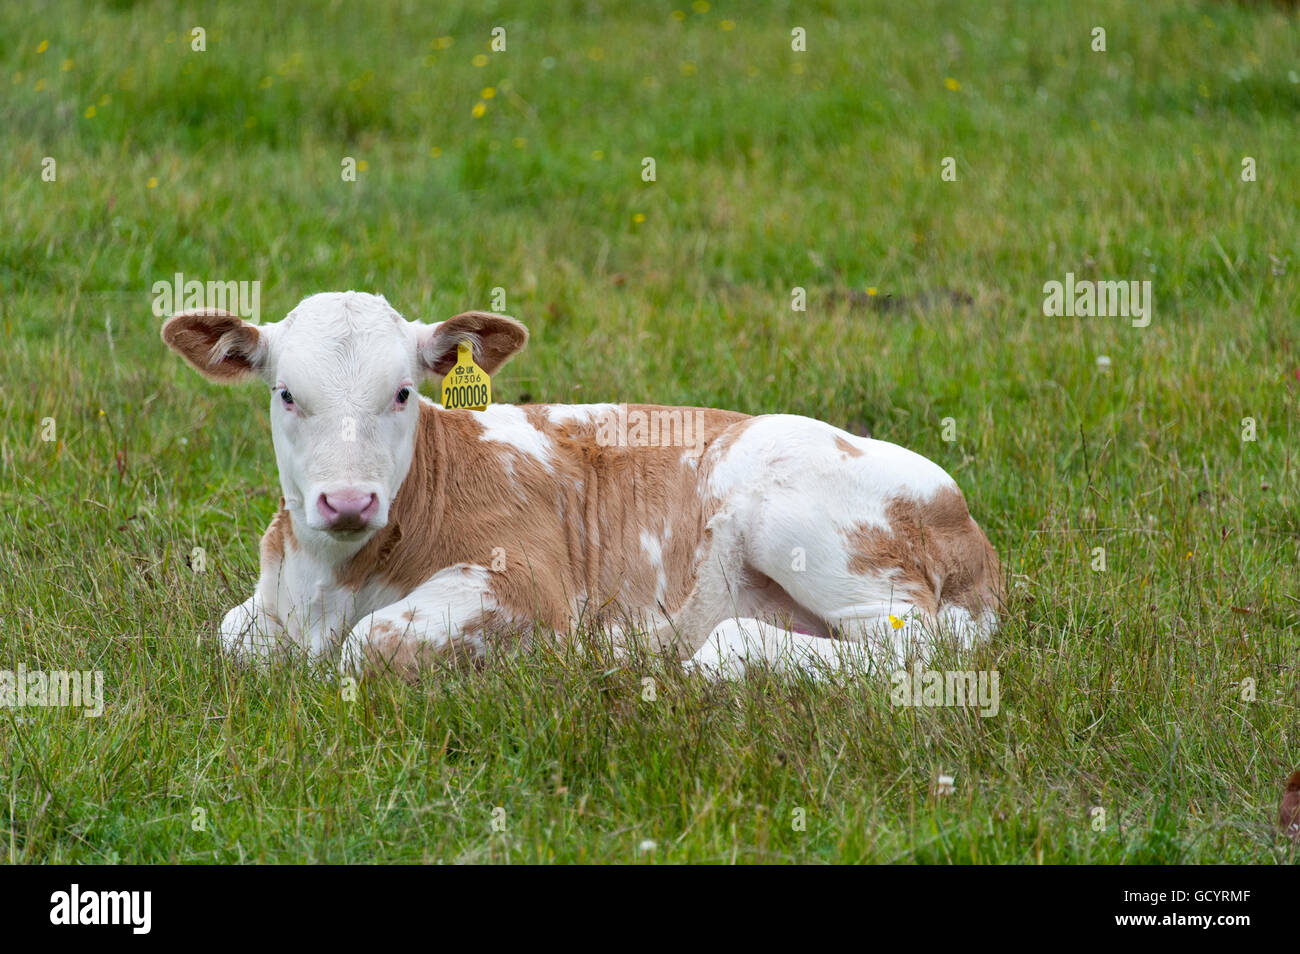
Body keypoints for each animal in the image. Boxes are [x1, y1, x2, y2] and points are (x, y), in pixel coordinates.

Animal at [162, 293, 1003, 681]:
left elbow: (371, 646)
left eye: (402, 393)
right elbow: (231, 633)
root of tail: (972, 535)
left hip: (806, 514)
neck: (330, 584)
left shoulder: (525, 582)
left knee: (911, 645)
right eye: (285, 395)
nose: (346, 502)